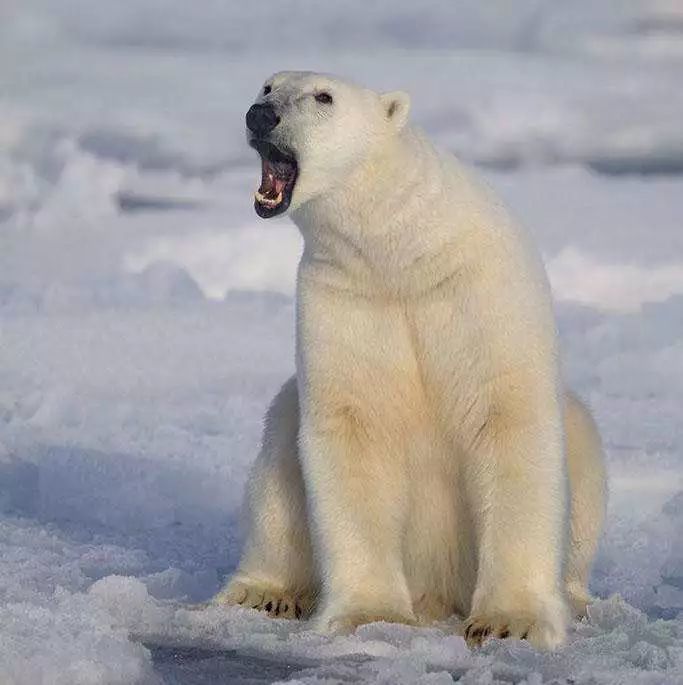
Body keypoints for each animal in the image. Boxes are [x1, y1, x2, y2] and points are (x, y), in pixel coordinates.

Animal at [216, 72, 608, 648]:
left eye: (324, 97)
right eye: (267, 85)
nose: (259, 115)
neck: (401, 253)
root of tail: (437, 592)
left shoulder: (480, 290)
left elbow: (508, 421)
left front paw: (510, 621)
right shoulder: (345, 296)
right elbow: (354, 429)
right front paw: (370, 614)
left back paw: (576, 600)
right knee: (281, 453)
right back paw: (263, 592)